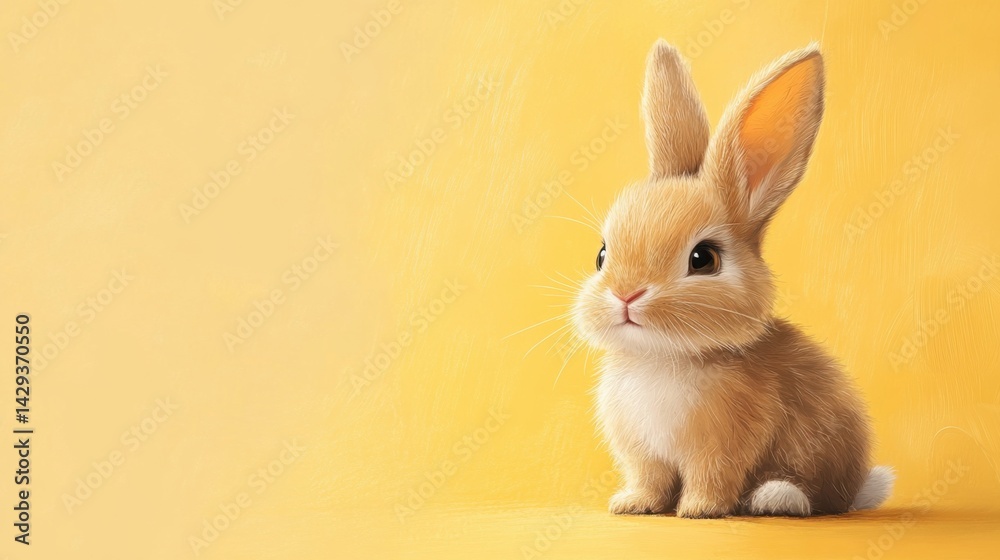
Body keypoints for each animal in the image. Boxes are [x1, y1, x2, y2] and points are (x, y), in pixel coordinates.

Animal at [572, 40, 894, 518]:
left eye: (703, 259)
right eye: (602, 254)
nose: (626, 295)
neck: (663, 357)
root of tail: (857, 489)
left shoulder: (724, 447)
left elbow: (713, 479)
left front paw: (698, 511)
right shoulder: (644, 455)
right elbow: (649, 480)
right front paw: (633, 505)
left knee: (817, 497)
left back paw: (775, 498)